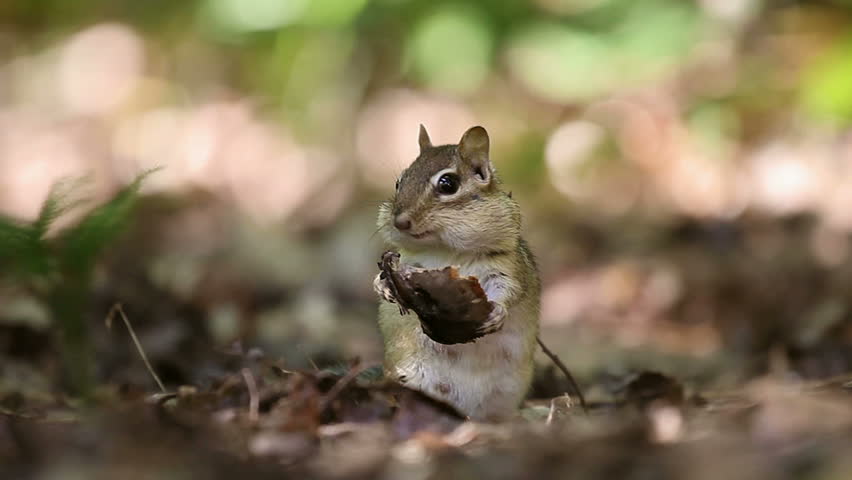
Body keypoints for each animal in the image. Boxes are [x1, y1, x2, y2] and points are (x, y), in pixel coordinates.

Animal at [373, 125, 541, 421]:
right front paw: (381, 286)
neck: (448, 250)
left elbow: (509, 289)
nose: (400, 221)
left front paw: (498, 312)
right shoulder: (410, 261)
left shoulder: (507, 266)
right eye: (399, 182)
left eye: (447, 184)